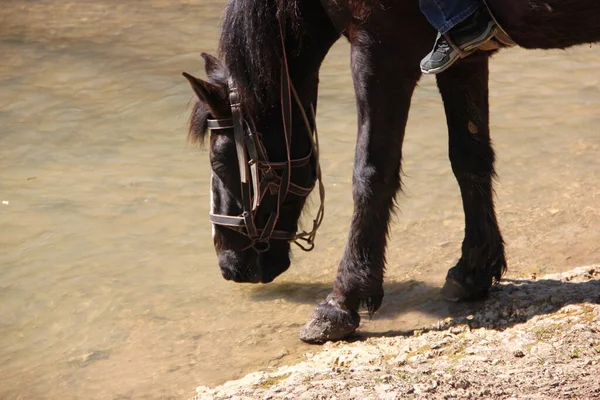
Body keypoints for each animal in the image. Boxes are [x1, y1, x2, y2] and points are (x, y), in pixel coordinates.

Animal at [185, 0, 600, 344]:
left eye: (220, 162)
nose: (229, 264)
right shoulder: (461, 60)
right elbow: (469, 158)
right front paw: (473, 270)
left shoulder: (381, 49)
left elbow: (371, 170)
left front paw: (342, 301)